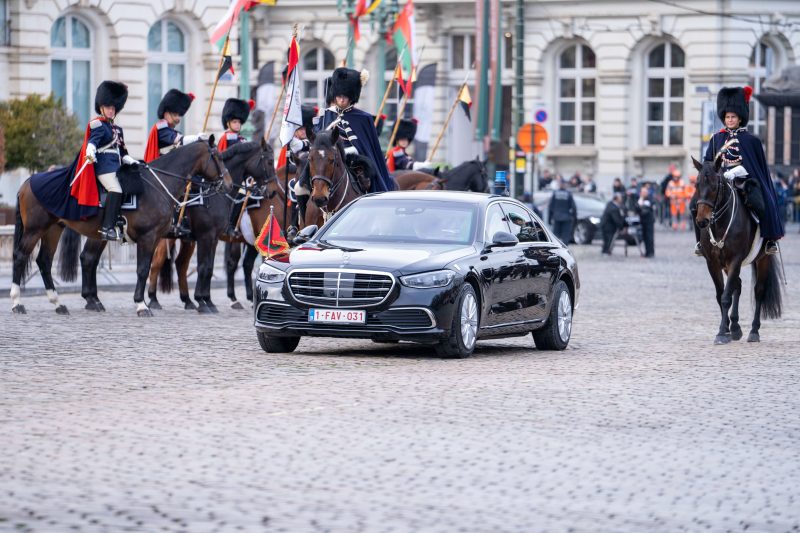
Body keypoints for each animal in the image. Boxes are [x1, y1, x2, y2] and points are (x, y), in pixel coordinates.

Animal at [11, 141, 231, 316]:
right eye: (218, 157)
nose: (228, 184)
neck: (159, 185)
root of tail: (28, 181)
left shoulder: (160, 238)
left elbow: (151, 268)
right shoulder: (153, 237)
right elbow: (144, 269)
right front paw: (142, 305)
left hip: (54, 229)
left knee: (46, 261)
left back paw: (59, 303)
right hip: (35, 229)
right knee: (21, 256)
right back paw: (17, 302)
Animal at [142, 138, 280, 312]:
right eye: (269, 161)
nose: (274, 191)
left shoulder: (213, 238)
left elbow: (209, 267)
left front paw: (207, 300)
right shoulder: (206, 236)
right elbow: (203, 267)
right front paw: (202, 301)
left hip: (186, 240)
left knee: (180, 264)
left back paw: (187, 300)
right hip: (163, 237)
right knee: (157, 263)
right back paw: (153, 299)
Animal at [692, 156, 784, 342]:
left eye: (714, 186)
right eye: (696, 185)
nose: (702, 221)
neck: (720, 224)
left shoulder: (735, 260)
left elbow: (726, 296)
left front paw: (721, 332)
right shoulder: (713, 263)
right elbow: (721, 295)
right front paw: (727, 328)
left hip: (763, 259)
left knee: (759, 291)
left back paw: (754, 331)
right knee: (738, 285)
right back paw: (734, 327)